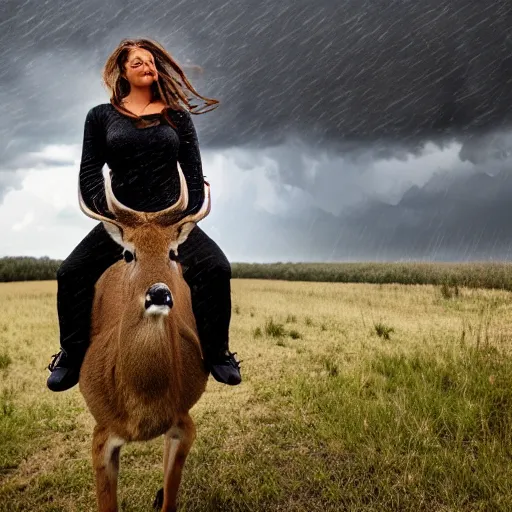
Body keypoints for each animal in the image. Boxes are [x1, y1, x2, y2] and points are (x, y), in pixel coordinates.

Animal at [76, 164, 212, 512]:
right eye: (128, 253)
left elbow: (171, 498)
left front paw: (163, 495)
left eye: (173, 252)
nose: (160, 293)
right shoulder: (102, 433)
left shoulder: (184, 422)